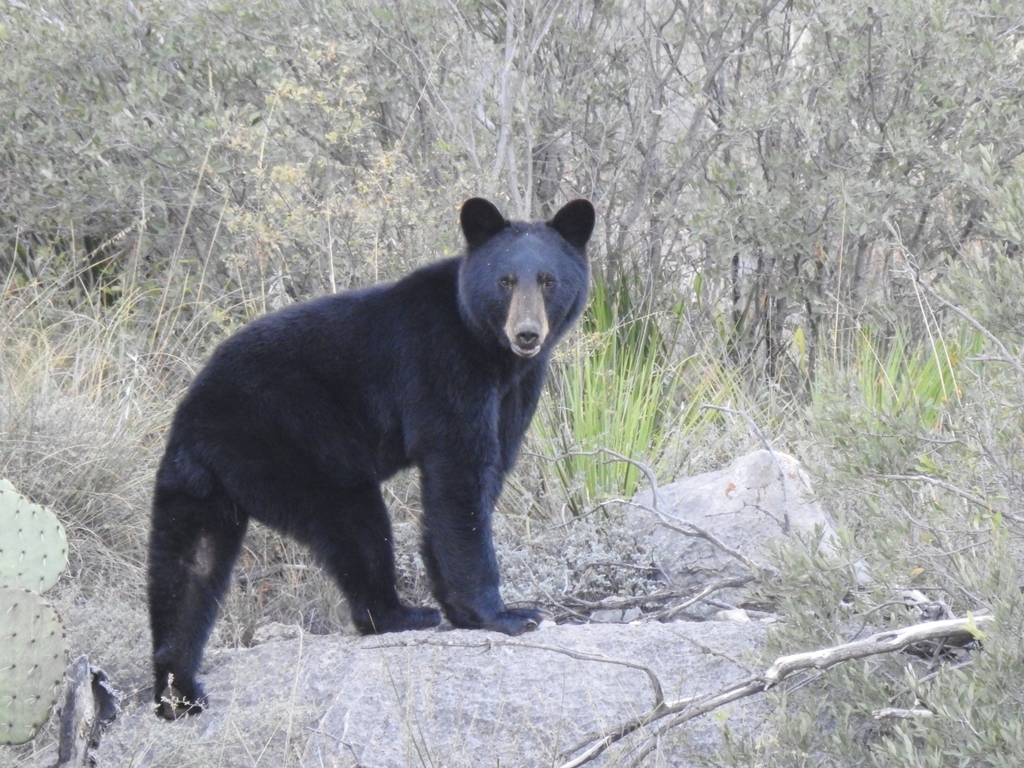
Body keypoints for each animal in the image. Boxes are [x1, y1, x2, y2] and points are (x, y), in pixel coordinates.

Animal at [147, 196, 595, 719]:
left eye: (547, 280)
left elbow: (489, 470)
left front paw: (464, 610)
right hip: (293, 435)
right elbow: (459, 473)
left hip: (204, 483)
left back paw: (178, 689)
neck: (490, 350)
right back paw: (399, 613)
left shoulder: (517, 388)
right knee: (354, 520)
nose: (527, 334)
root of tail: (192, 418)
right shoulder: (442, 366)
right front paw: (504, 614)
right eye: (505, 281)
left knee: (189, 564)